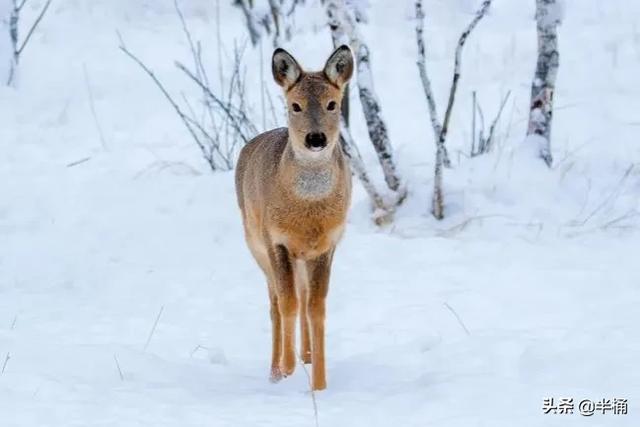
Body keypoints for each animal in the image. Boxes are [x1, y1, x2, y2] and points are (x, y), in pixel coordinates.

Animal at [236, 46, 356, 392]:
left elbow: (316, 308)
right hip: (255, 245)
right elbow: (286, 303)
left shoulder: (326, 245)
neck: (307, 212)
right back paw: (276, 370)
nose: (315, 139)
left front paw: (319, 383)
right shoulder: (276, 241)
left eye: (332, 103)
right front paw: (286, 370)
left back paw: (306, 356)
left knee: (301, 298)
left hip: (300, 258)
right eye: (296, 105)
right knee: (276, 303)